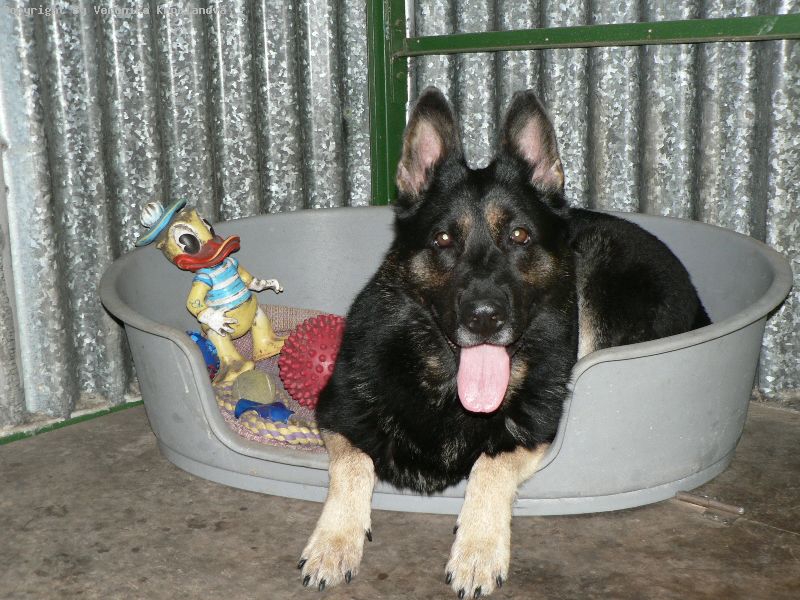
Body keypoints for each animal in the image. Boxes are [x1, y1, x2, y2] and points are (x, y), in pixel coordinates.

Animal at [298, 87, 710, 598]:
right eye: (443, 239)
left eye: (519, 235)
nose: (484, 318)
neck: (443, 378)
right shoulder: (337, 410)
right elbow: (354, 463)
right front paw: (334, 542)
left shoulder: (536, 427)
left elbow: (490, 466)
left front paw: (478, 549)